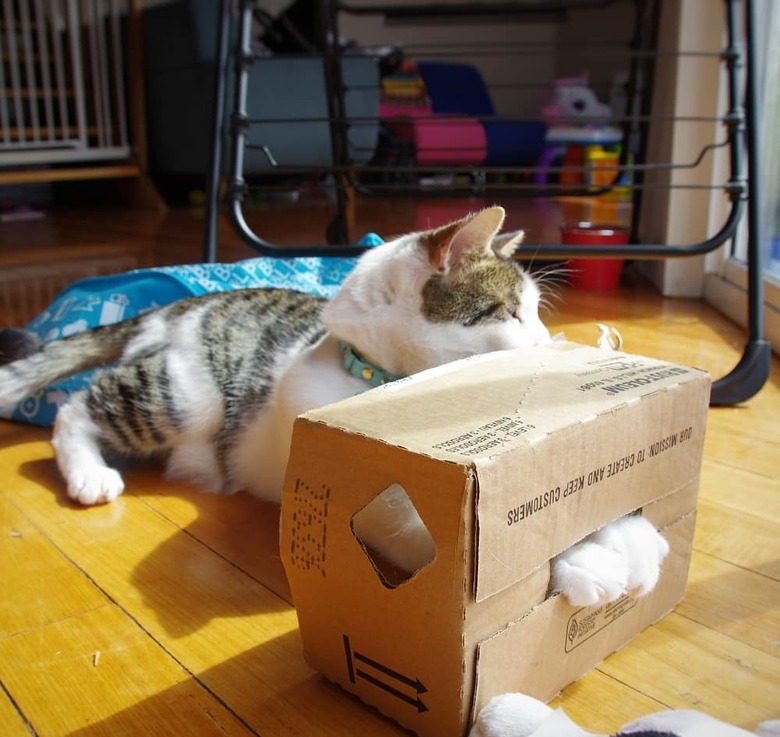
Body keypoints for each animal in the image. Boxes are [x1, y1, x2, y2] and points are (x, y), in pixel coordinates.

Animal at [0, 206, 668, 604]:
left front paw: (632, 539)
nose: (547, 341)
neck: (376, 376)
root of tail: (177, 307)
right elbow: (463, 547)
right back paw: (89, 473)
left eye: (536, 310)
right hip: (185, 397)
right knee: (78, 406)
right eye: (510, 312)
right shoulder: (377, 502)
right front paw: (589, 564)